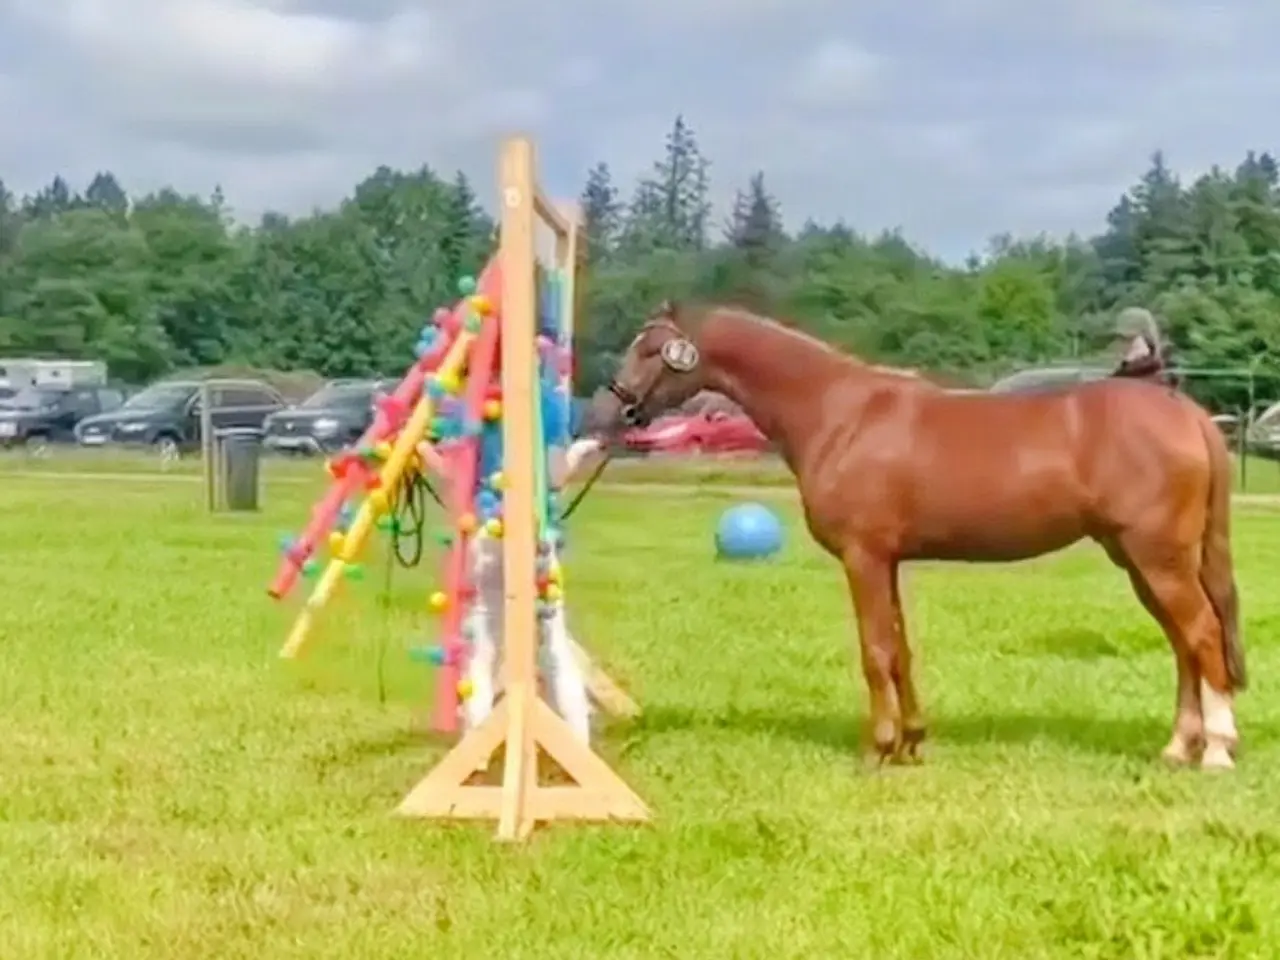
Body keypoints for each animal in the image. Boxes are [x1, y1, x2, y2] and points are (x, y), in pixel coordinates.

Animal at [584, 302, 1246, 771]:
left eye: (651, 349)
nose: (605, 414)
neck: (839, 413)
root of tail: (1187, 415)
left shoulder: (864, 558)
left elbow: (876, 651)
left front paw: (878, 748)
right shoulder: (890, 561)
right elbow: (900, 649)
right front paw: (912, 743)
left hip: (1157, 558)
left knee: (1201, 635)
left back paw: (1216, 749)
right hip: (1139, 561)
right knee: (1184, 644)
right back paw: (1177, 747)